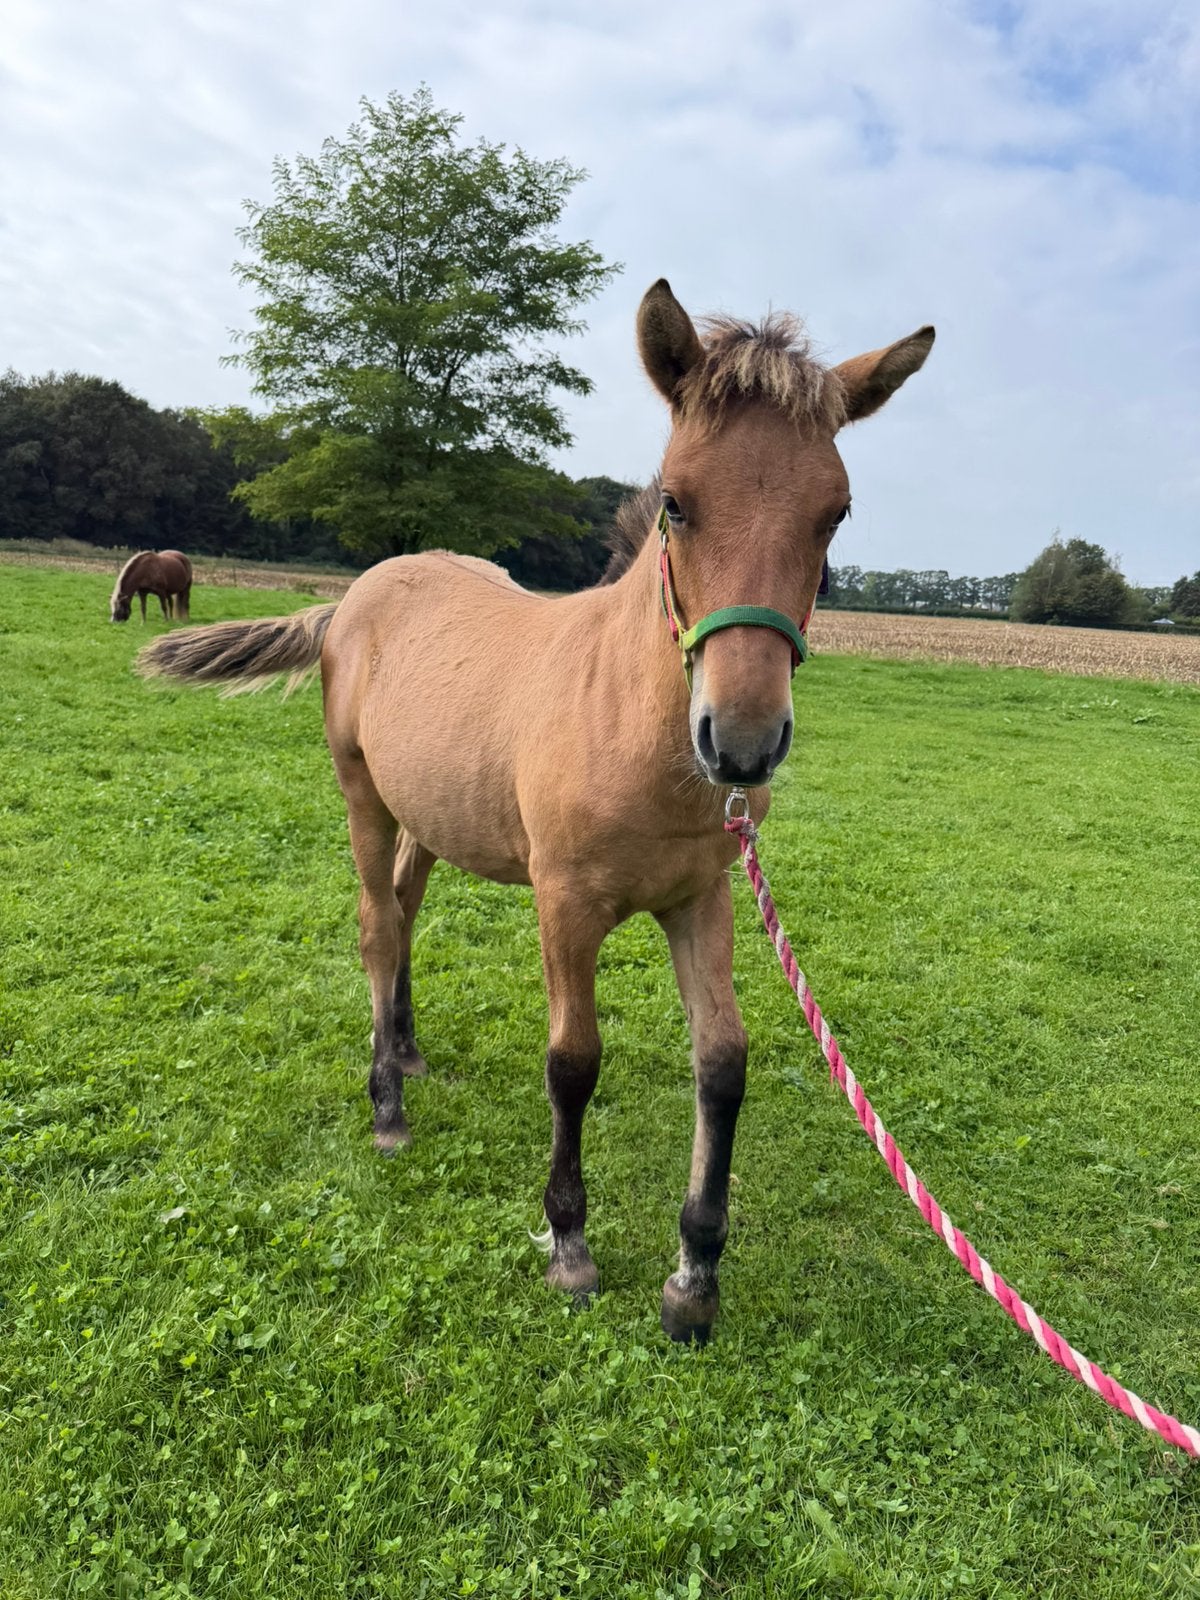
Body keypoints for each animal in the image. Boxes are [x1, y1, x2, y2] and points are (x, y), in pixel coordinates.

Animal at [138, 280, 933, 1342]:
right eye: (676, 502)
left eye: (835, 513)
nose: (743, 742)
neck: (634, 726)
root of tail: (353, 598)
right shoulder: (566, 904)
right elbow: (573, 1062)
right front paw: (569, 1243)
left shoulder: (704, 897)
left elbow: (723, 1061)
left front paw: (695, 1275)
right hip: (361, 794)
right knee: (376, 926)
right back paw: (387, 1106)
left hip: (431, 813)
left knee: (405, 909)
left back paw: (408, 1051)